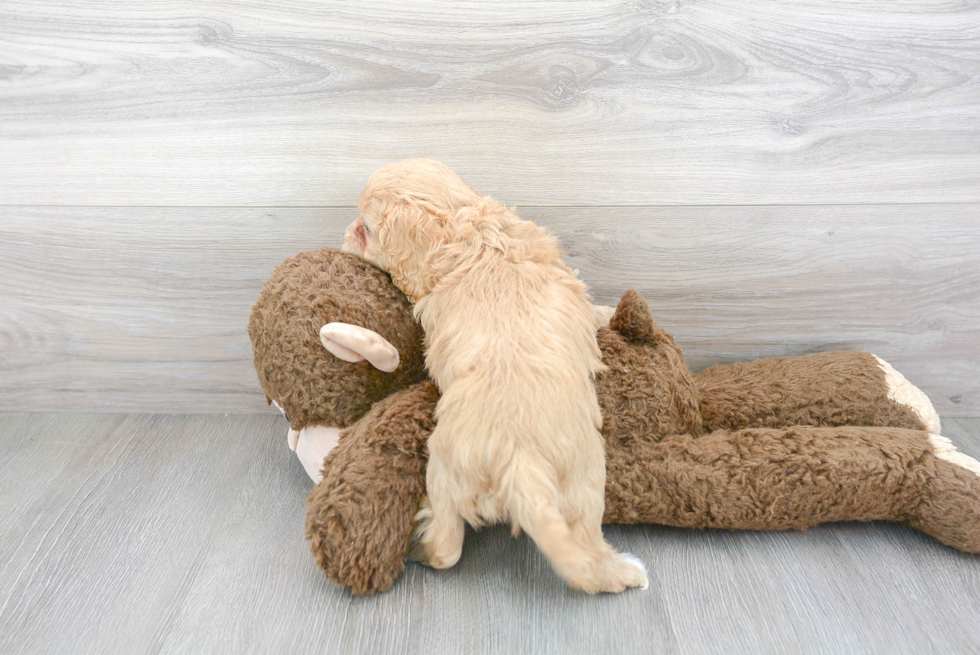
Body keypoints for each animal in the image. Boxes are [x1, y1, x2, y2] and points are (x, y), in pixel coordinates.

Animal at [340, 160, 648, 596]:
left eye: (366, 227)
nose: (345, 230)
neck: (470, 231)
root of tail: (520, 460)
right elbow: (593, 311)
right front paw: (609, 315)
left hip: (472, 473)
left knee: (452, 547)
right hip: (576, 483)